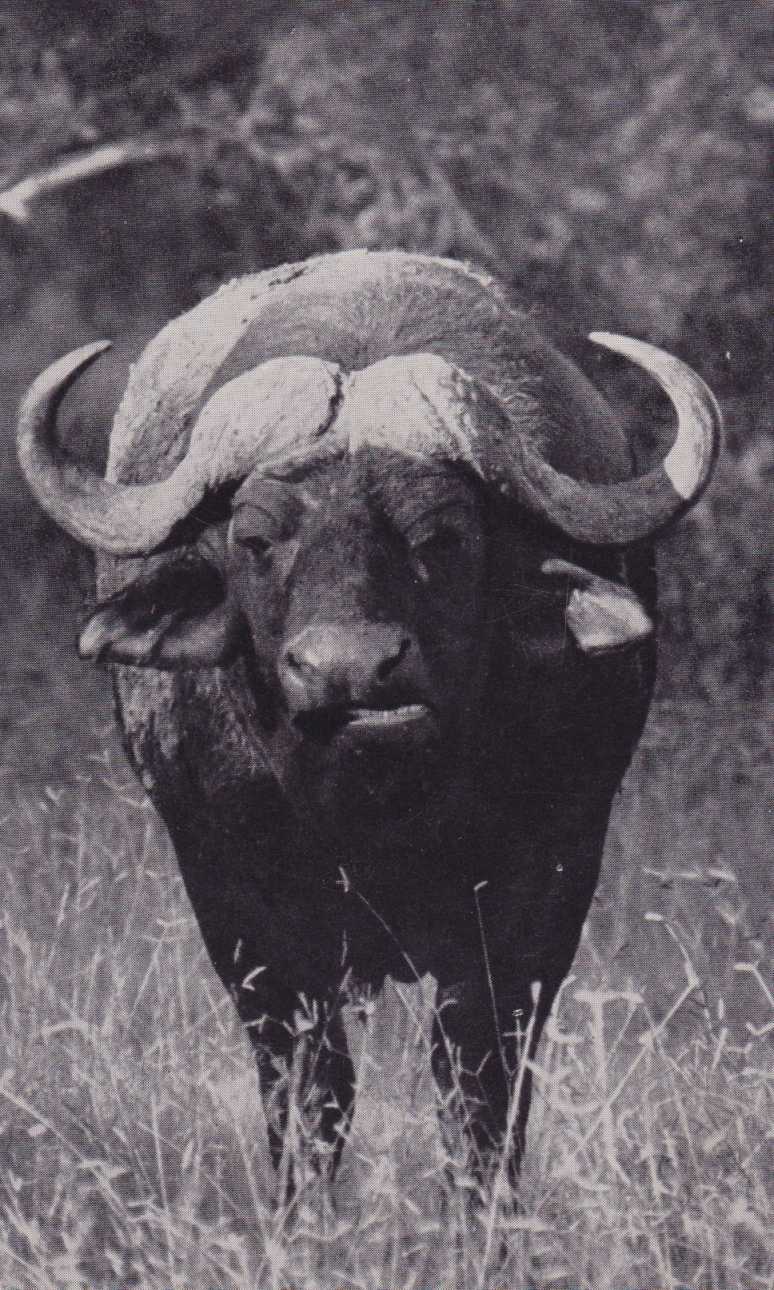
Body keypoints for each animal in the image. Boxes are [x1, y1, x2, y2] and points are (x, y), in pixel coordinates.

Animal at [16, 251, 717, 1181]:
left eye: (443, 537)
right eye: (255, 540)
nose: (348, 669)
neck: (376, 815)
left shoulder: (545, 884)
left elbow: (479, 1084)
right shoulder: (237, 901)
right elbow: (310, 1088)